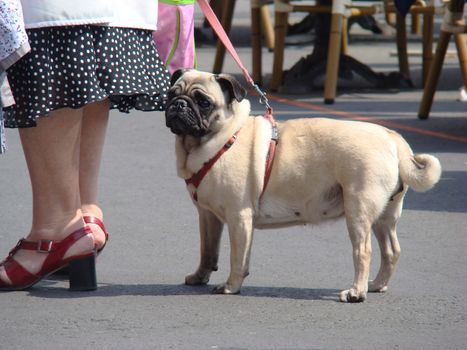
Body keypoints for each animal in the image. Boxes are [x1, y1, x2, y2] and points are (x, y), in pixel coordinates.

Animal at [165, 69, 442, 304]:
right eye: (171, 94)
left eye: (203, 102)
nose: (179, 104)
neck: (222, 137)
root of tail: (394, 139)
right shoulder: (208, 216)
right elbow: (208, 251)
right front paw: (199, 277)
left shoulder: (238, 217)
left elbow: (237, 258)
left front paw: (230, 287)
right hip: (384, 217)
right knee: (391, 251)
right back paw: (376, 285)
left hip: (359, 210)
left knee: (363, 251)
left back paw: (356, 292)